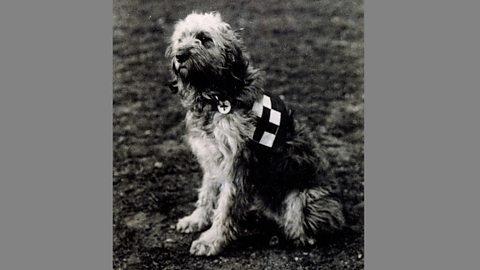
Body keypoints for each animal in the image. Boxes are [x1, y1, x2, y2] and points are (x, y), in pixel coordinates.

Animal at [165, 11, 344, 256]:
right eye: (181, 38)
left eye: (204, 38)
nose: (180, 55)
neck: (217, 99)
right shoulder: (211, 160)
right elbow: (207, 195)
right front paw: (197, 220)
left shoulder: (237, 166)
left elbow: (226, 208)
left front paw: (212, 240)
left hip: (303, 199)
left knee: (304, 226)